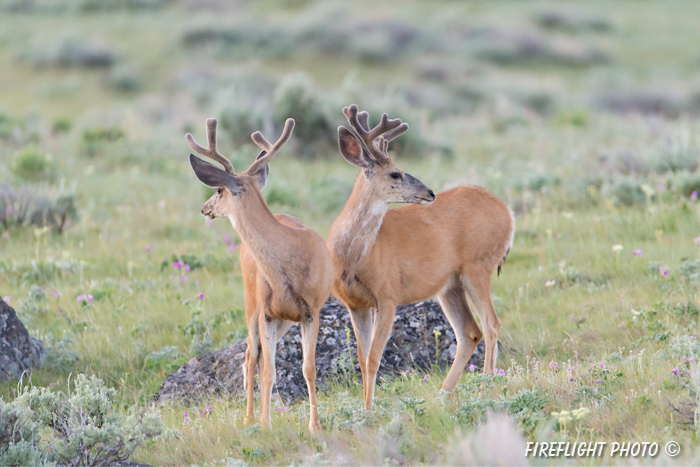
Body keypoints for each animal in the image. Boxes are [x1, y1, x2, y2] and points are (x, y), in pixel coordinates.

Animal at [186, 117, 334, 432]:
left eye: (218, 190)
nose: (204, 209)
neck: (289, 268)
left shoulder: (312, 311)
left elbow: (309, 368)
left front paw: (315, 426)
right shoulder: (265, 311)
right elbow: (268, 369)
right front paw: (265, 425)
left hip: (283, 320)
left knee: (258, 356)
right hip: (250, 301)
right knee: (251, 356)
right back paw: (249, 417)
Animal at [328, 105, 516, 410]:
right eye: (395, 174)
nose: (430, 192)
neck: (351, 257)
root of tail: (508, 212)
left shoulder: (388, 295)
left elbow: (373, 358)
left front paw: (369, 409)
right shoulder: (355, 304)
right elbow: (362, 358)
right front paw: (366, 406)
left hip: (478, 266)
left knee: (491, 324)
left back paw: (485, 391)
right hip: (450, 285)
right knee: (469, 332)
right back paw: (443, 395)